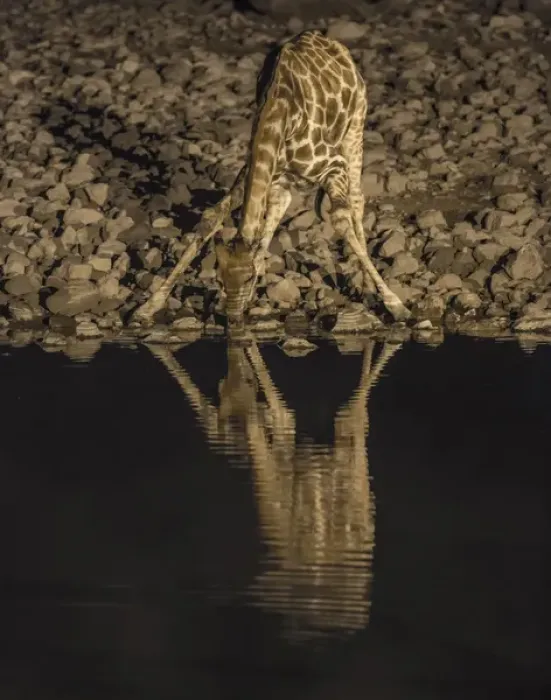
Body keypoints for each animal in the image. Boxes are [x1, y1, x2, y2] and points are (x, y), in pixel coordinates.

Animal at [132, 30, 410, 330]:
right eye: (219, 279)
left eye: (249, 277)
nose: (233, 319)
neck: (279, 111)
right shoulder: (258, 169)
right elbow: (213, 216)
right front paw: (147, 308)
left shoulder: (333, 165)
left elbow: (340, 220)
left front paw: (397, 306)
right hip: (288, 177)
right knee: (281, 205)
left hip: (355, 125)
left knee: (357, 199)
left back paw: (370, 286)